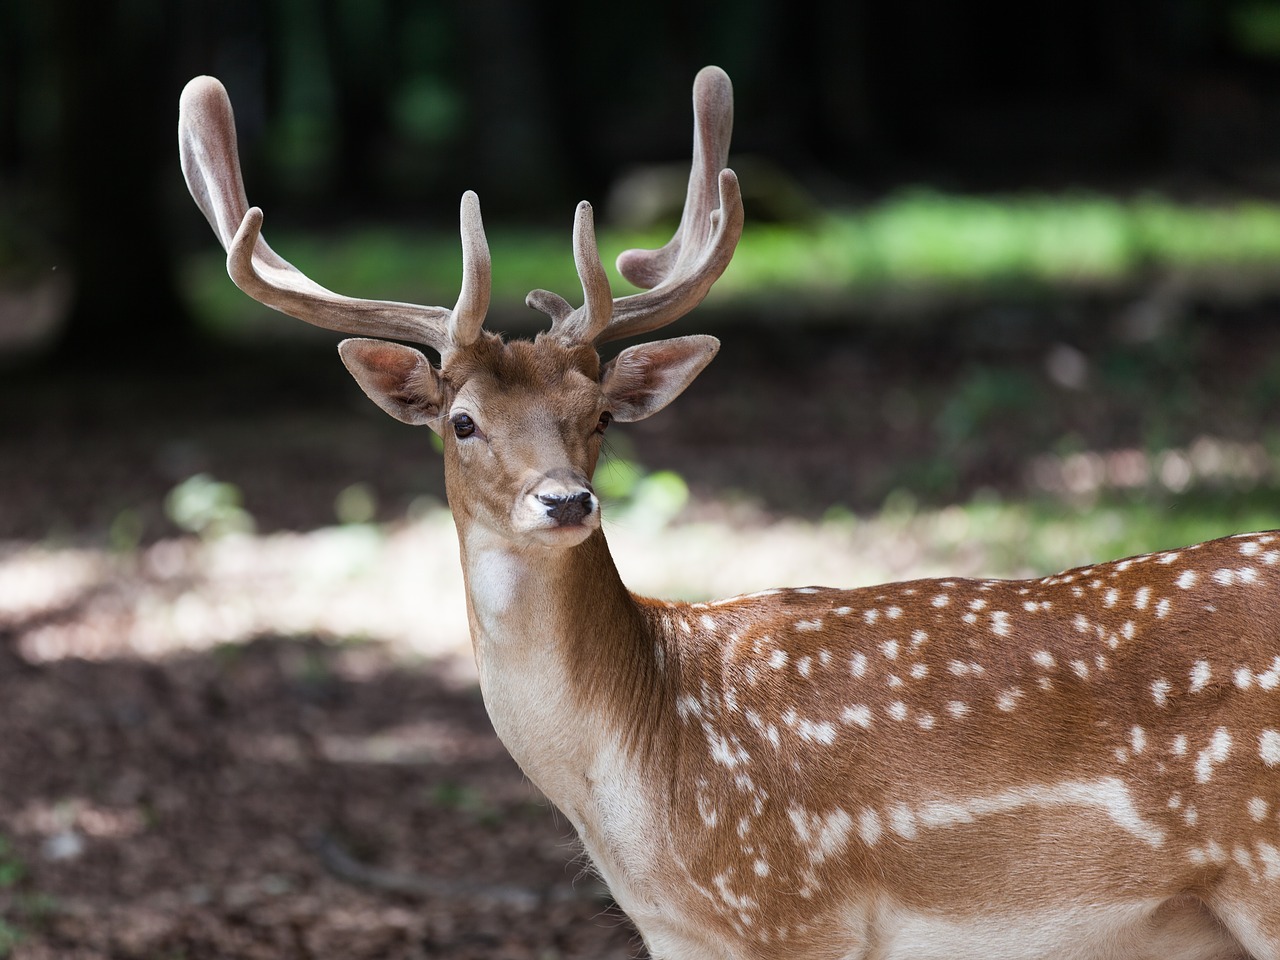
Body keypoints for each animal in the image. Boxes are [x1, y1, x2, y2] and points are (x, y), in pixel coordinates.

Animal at [180, 67, 1280, 960]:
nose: (565, 498)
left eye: (595, 418)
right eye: (461, 422)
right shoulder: (683, 935)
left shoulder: (791, 906)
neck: (641, 778)